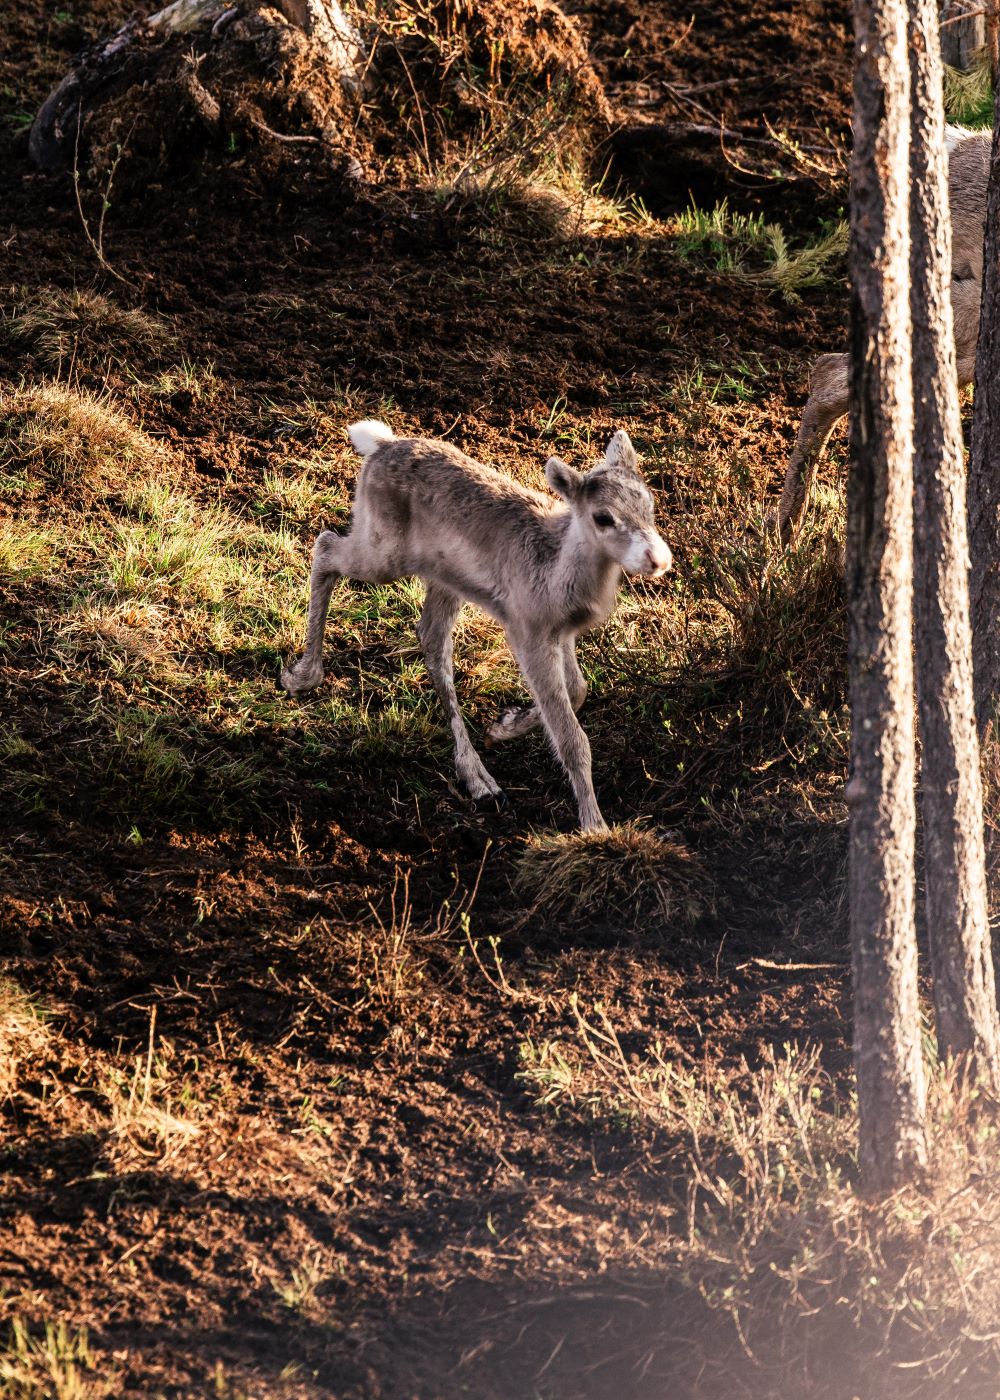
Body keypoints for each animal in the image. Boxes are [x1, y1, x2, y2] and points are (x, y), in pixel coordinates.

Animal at [280, 417, 669, 828]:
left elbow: (578, 690)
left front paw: (504, 725)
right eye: (603, 517)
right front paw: (595, 826)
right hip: (383, 550)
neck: (559, 572)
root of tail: (379, 444)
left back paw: (477, 776)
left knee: (431, 638)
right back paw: (302, 675)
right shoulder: (527, 627)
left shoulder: (561, 632)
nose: (658, 560)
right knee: (326, 545)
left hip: (445, 578)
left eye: (649, 504)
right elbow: (571, 738)